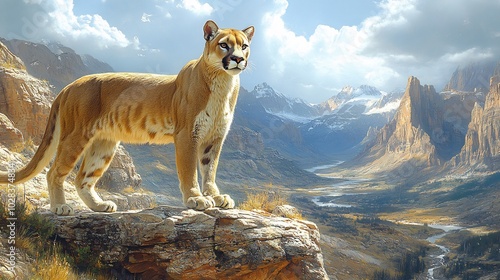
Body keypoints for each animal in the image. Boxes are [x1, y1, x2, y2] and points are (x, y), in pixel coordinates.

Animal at [0, 20, 254, 215]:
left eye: (244, 46)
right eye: (224, 45)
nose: (238, 59)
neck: (224, 84)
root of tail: (69, 86)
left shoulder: (215, 137)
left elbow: (209, 170)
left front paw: (216, 196)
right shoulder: (187, 134)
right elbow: (189, 170)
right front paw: (196, 199)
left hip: (104, 145)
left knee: (82, 178)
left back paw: (100, 206)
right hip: (76, 135)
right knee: (55, 172)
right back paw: (60, 208)